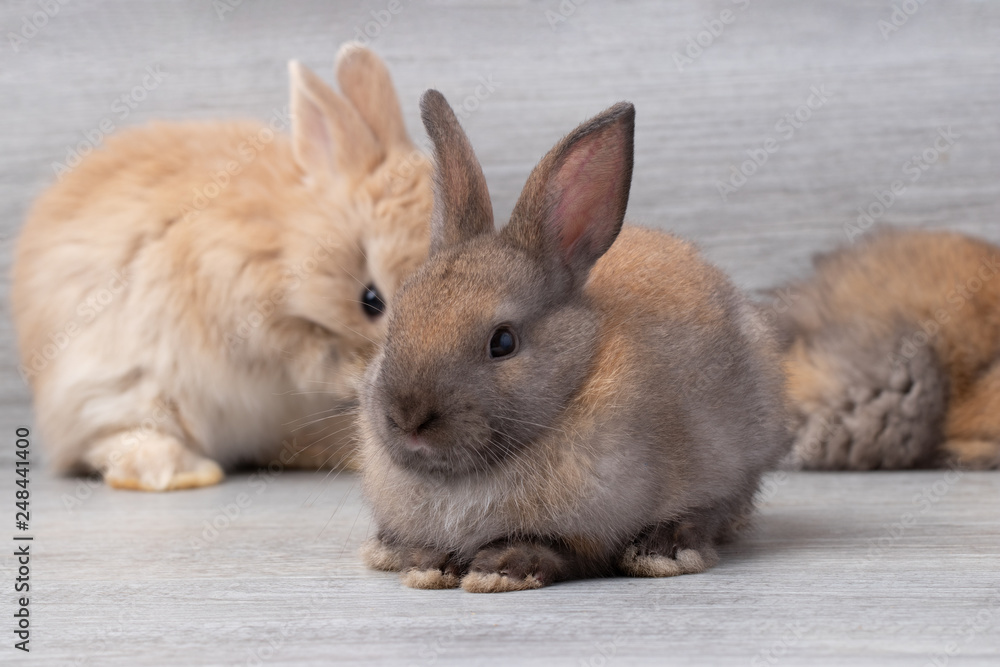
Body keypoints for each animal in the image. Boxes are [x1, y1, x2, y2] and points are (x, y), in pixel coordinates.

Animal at [10, 44, 434, 491]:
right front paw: (354, 373)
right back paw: (179, 472)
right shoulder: (245, 313)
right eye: (371, 300)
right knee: (118, 440)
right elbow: (311, 357)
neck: (286, 239)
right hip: (116, 394)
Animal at [356, 91, 790, 593]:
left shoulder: (589, 531)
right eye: (394, 323)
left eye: (502, 342)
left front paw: (498, 570)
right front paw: (424, 565)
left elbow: (557, 550)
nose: (408, 418)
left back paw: (666, 549)